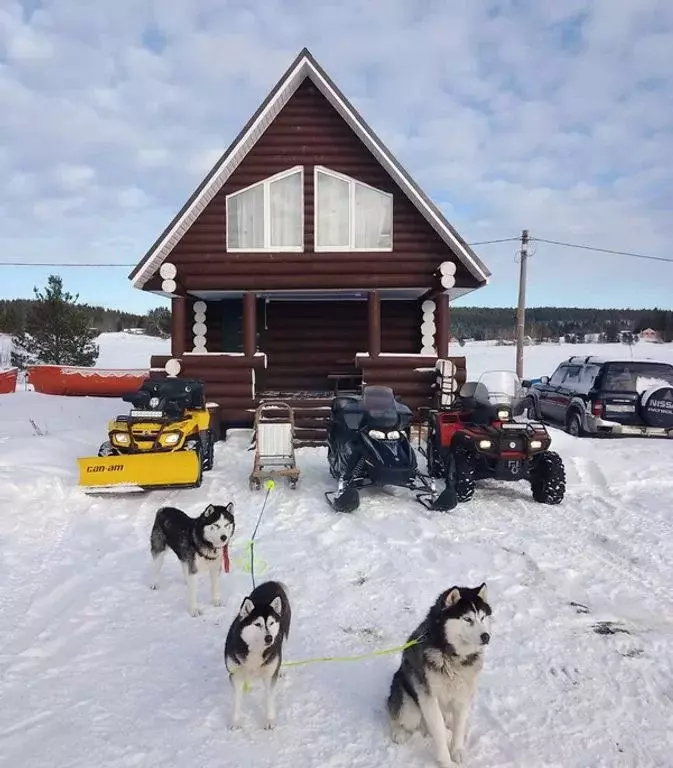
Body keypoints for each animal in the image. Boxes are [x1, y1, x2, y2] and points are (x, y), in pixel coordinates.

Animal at [223, 584, 292, 732]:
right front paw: (236, 721)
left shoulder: (270, 675)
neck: (256, 650)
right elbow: (237, 700)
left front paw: (269, 720)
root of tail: (271, 582)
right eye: (257, 624)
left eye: (271, 623)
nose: (269, 638)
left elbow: (269, 698)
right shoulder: (235, 675)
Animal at [386, 584, 490, 764]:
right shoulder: (429, 698)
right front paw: (446, 761)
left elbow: (459, 727)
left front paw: (457, 751)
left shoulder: (463, 694)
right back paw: (398, 732)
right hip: (410, 709)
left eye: (482, 618)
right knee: (393, 712)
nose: (486, 636)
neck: (452, 655)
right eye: (467, 619)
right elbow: (439, 732)